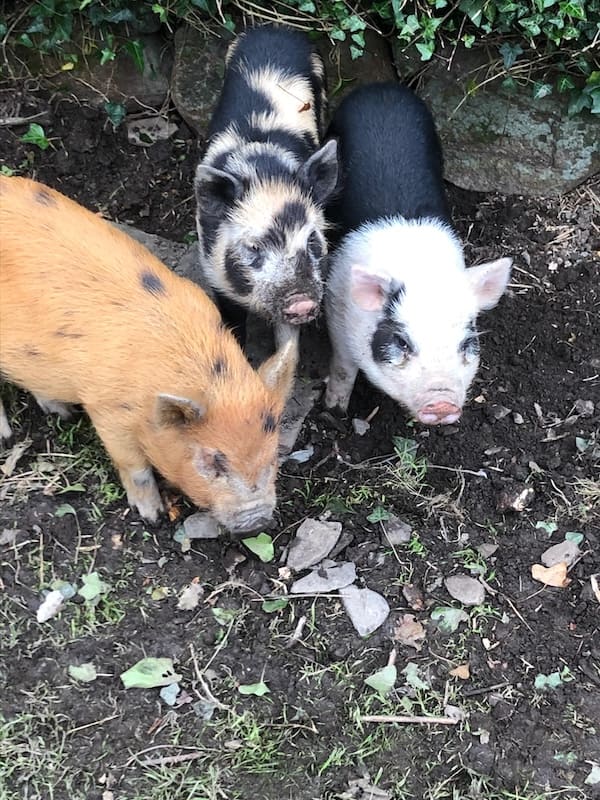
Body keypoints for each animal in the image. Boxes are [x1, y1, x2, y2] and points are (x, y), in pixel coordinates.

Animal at [0, 175, 297, 532]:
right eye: (213, 460)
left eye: (273, 452)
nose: (257, 521)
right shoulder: (106, 411)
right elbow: (133, 465)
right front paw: (152, 516)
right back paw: (7, 436)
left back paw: (60, 411)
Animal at [194, 24, 339, 348]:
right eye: (254, 247)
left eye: (312, 240)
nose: (301, 301)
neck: (265, 173)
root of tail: (276, 29)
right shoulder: (214, 270)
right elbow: (232, 321)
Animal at [324, 83, 512, 423]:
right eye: (402, 342)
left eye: (467, 342)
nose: (442, 402)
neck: (419, 268)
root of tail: (381, 88)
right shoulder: (335, 311)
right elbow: (343, 368)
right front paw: (334, 410)